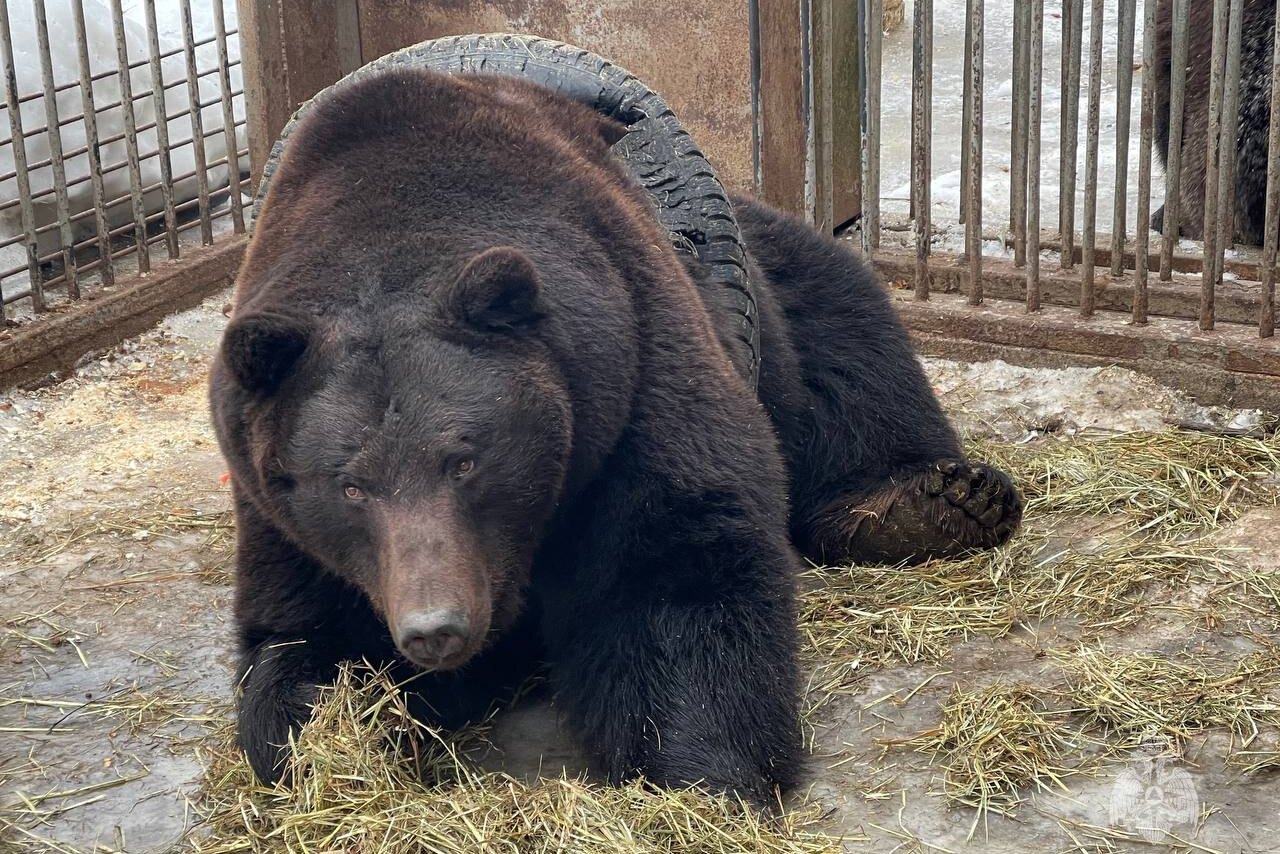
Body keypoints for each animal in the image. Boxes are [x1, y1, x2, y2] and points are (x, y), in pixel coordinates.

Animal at [212, 66, 1029, 809]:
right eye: (349, 485)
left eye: (466, 460)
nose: (435, 627)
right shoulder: (283, 513)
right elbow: (306, 640)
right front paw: (332, 738)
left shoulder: (627, 367)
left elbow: (670, 565)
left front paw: (704, 772)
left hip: (770, 289)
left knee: (846, 337)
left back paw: (935, 502)